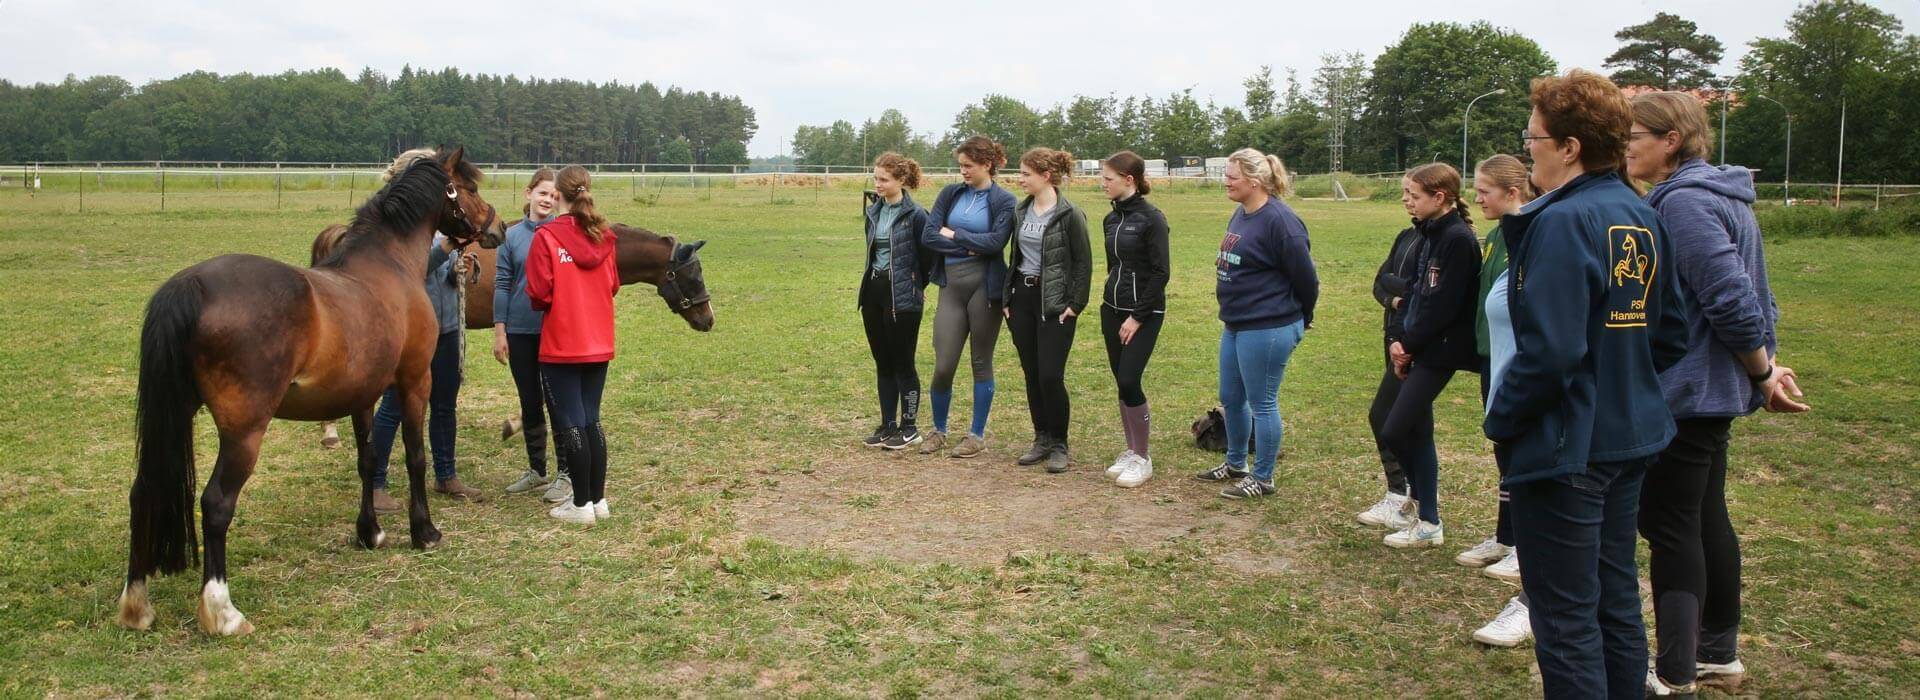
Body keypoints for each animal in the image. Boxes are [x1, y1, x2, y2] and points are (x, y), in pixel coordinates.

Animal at [115, 145, 506, 632]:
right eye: (469, 187)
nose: (497, 227)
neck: (388, 264)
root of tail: (193, 285)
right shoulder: (415, 380)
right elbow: (415, 456)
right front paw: (425, 533)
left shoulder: (361, 394)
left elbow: (368, 459)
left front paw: (370, 532)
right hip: (244, 432)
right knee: (217, 503)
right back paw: (223, 612)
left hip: (174, 416)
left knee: (143, 492)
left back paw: (136, 604)